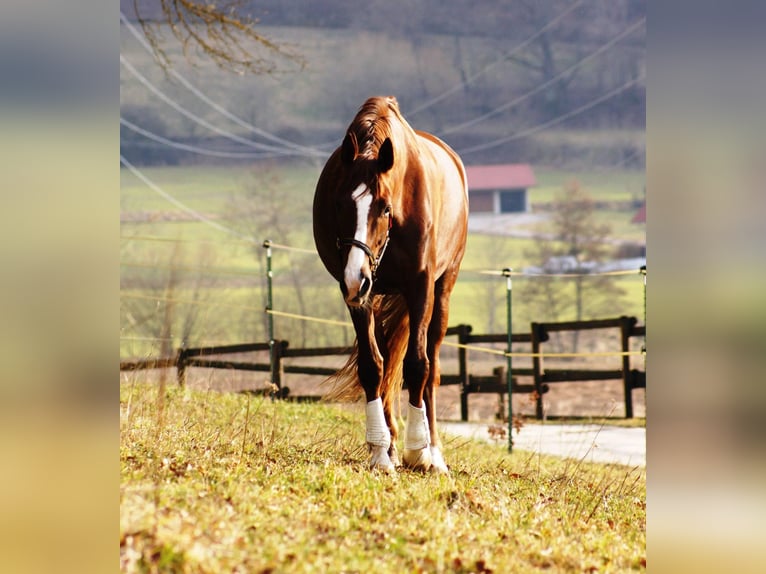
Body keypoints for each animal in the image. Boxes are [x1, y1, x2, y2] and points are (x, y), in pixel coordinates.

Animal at [312, 97, 468, 474]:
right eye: (339, 204)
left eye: (384, 208)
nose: (356, 276)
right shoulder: (360, 296)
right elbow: (373, 367)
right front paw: (382, 452)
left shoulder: (421, 287)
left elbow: (418, 366)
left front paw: (417, 450)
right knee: (386, 364)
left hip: (442, 290)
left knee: (432, 366)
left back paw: (434, 451)